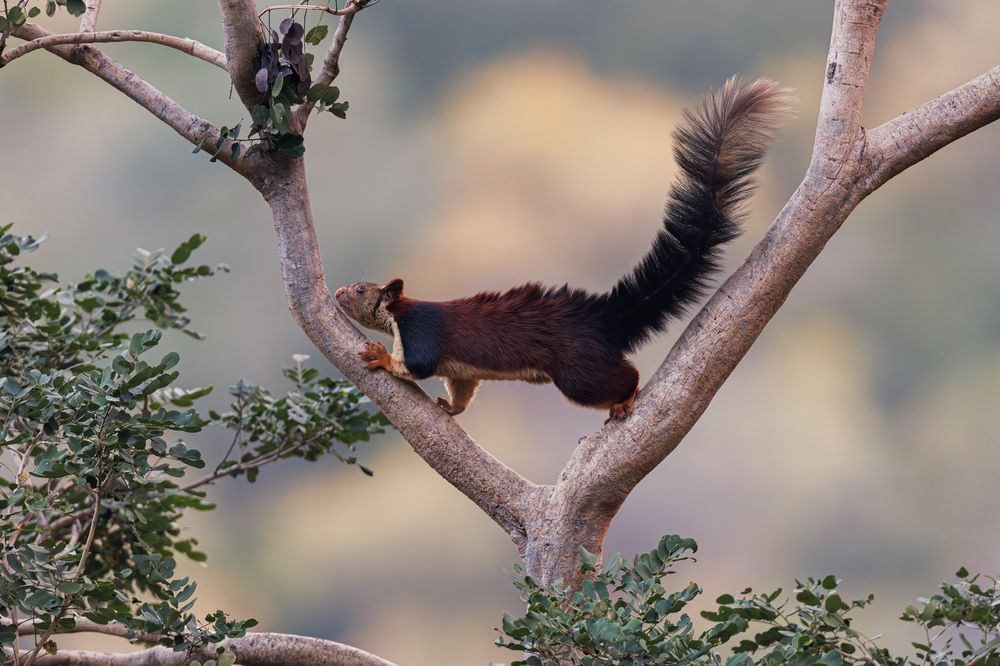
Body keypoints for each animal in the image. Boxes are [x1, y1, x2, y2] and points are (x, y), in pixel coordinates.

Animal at [336, 77, 792, 420]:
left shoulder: (421, 332)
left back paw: (626, 399)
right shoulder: (460, 372)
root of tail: (603, 319)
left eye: (361, 289)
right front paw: (451, 407)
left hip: (577, 372)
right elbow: (464, 387)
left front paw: (379, 356)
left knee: (625, 376)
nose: (339, 292)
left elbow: (417, 365)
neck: (399, 313)